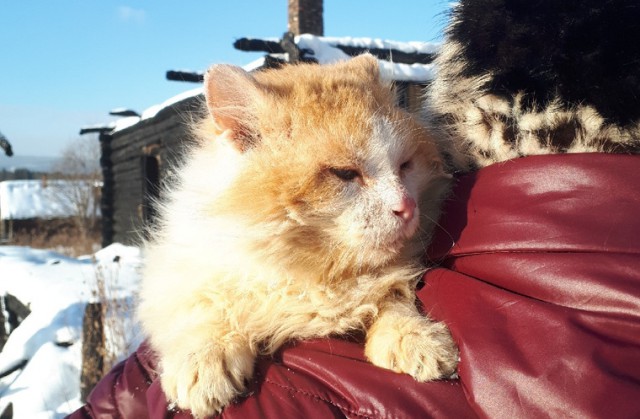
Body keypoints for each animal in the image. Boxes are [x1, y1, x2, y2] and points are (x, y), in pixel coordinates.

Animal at [139, 54, 460, 418]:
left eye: (405, 166)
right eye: (344, 173)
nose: (406, 206)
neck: (310, 277)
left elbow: (392, 299)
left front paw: (417, 339)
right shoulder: (174, 277)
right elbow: (204, 309)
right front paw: (203, 362)